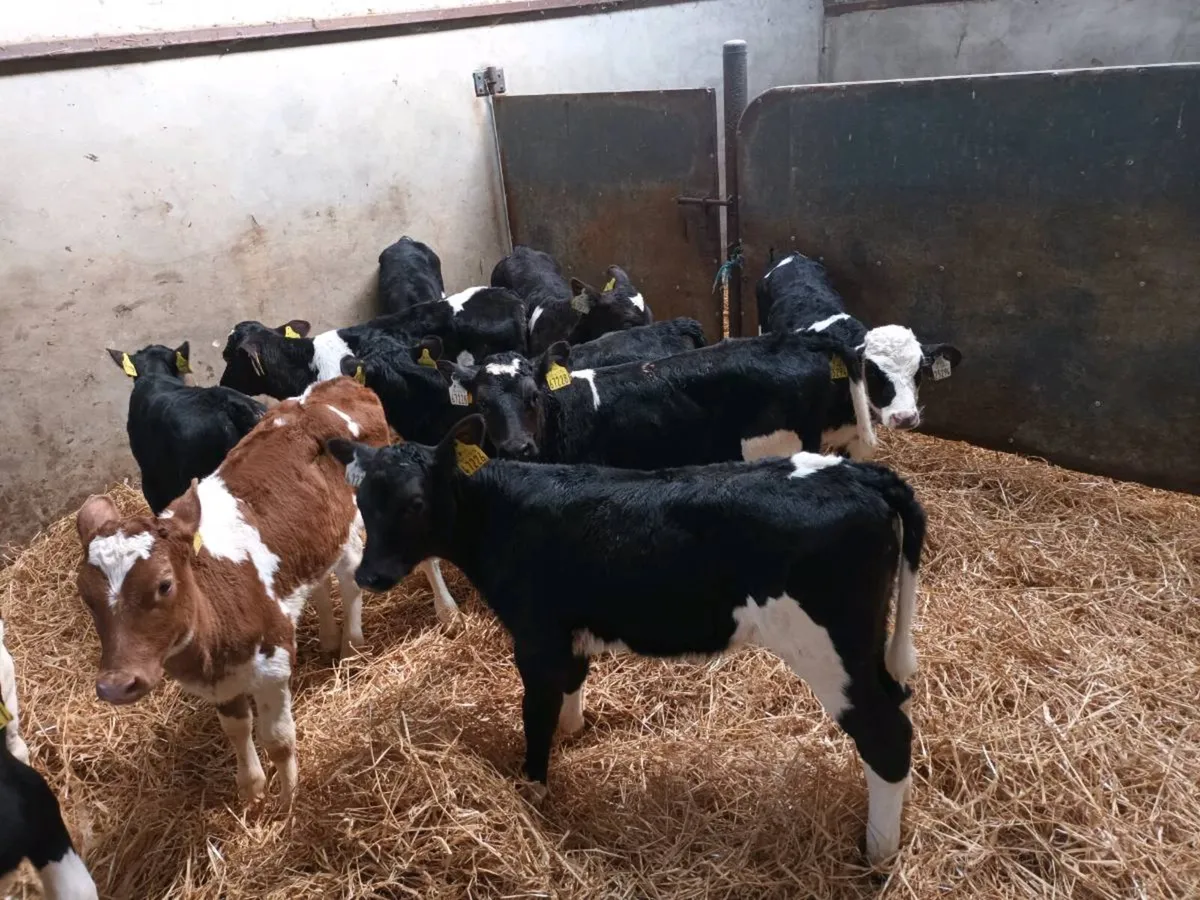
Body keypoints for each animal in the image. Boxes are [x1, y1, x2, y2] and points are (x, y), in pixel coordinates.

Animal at [76, 378, 388, 808]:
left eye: (164, 584)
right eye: (85, 595)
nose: (116, 685)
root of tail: (336, 385)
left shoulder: (272, 667)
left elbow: (278, 740)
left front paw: (288, 801)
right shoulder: (219, 683)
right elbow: (237, 730)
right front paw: (252, 790)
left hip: (354, 518)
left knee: (351, 575)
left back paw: (351, 647)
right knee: (322, 580)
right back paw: (328, 637)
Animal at [327, 415, 925, 864]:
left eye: (414, 502)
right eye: (362, 501)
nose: (370, 575)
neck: (501, 513)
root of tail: (861, 475)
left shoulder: (535, 634)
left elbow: (535, 712)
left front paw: (533, 791)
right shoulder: (570, 630)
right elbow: (571, 684)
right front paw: (573, 732)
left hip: (828, 650)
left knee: (887, 737)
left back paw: (877, 853)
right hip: (867, 651)